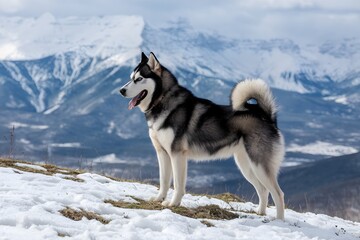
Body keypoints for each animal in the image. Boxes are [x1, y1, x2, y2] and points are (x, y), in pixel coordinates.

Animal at [119, 52, 286, 219]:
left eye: (139, 79)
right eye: (131, 77)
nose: (121, 91)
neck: (162, 100)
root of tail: (267, 116)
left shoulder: (177, 154)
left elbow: (178, 184)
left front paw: (173, 203)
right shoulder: (162, 153)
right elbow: (164, 181)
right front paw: (159, 199)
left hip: (259, 165)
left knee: (278, 193)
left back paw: (279, 220)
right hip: (246, 166)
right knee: (263, 190)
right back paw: (260, 213)